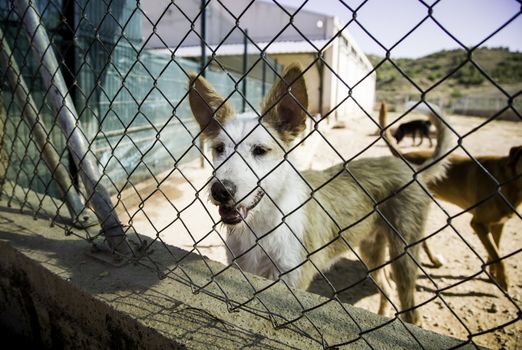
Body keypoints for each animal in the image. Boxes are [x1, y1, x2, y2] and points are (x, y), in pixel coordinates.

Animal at [188, 64, 450, 324]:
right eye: (219, 149)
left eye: (260, 150)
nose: (220, 190)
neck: (261, 225)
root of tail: (411, 168)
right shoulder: (243, 270)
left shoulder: (291, 279)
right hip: (372, 248)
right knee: (386, 287)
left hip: (405, 252)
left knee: (411, 312)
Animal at [378, 103, 520, 290]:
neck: (508, 180)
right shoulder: (478, 223)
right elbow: (496, 254)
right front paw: (503, 280)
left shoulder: (498, 224)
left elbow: (495, 251)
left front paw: (494, 275)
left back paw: (431, 260)